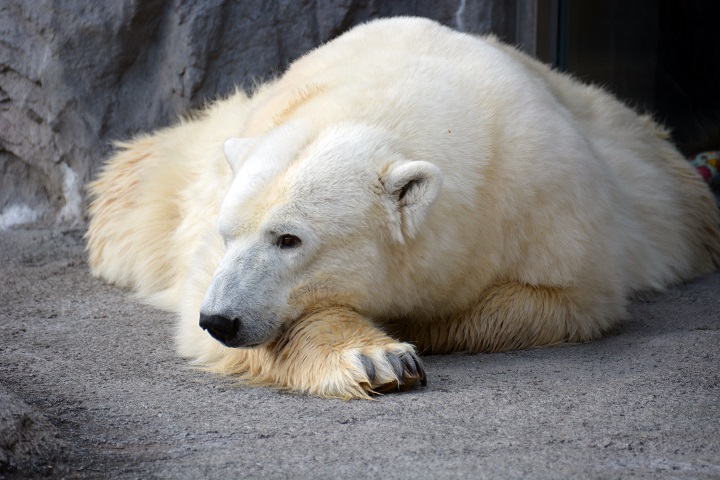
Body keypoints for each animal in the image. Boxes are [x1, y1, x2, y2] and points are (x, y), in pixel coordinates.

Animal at [87, 16, 720, 398]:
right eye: (228, 234)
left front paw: (416, 328)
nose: (221, 319)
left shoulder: (546, 201)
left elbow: (559, 299)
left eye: (289, 238)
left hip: (648, 169)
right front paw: (377, 358)